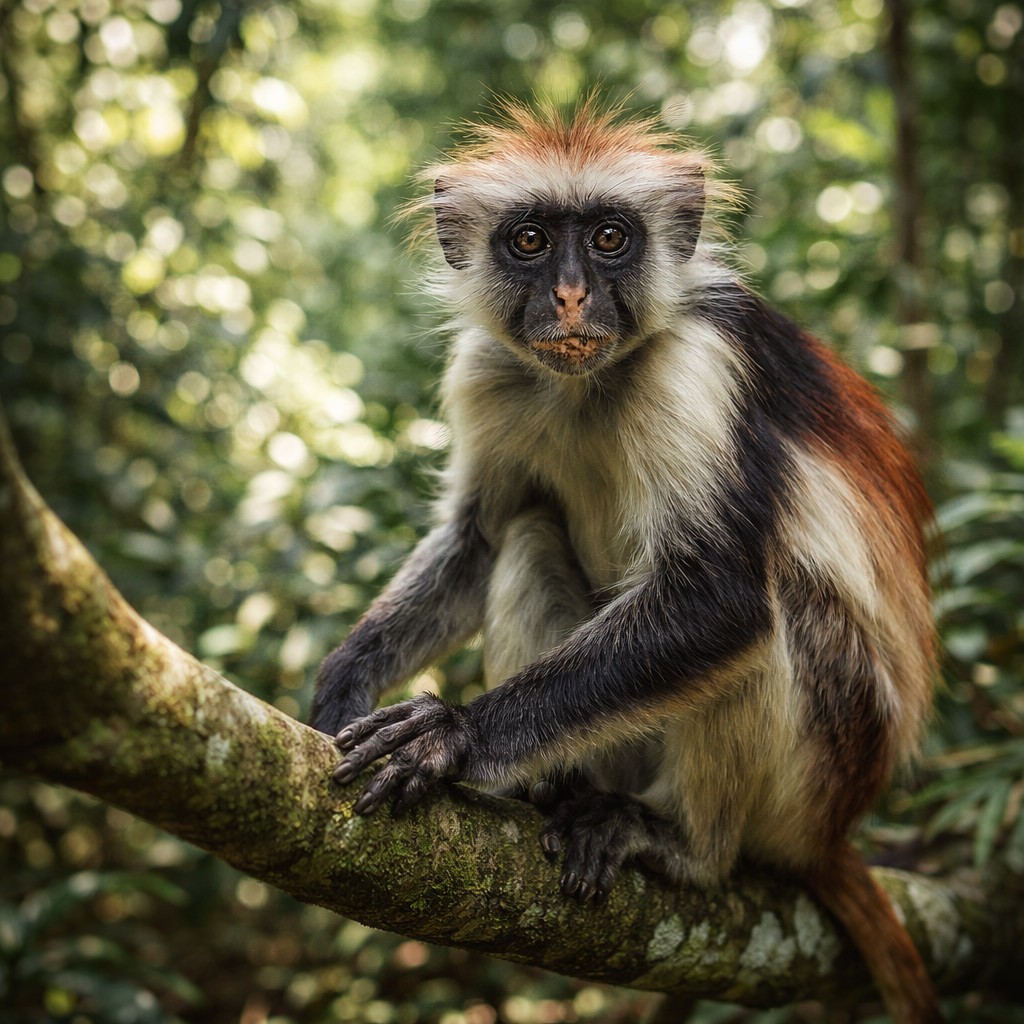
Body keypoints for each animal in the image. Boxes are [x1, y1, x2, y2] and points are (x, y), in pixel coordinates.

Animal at [310, 101, 941, 1024]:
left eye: (610, 238)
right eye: (530, 242)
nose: (572, 295)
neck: (585, 381)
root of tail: (836, 828)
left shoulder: (697, 366)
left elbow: (720, 602)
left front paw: (454, 736)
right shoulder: (490, 370)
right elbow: (476, 539)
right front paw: (344, 684)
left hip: (823, 762)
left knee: (772, 615)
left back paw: (680, 844)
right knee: (529, 536)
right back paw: (550, 787)